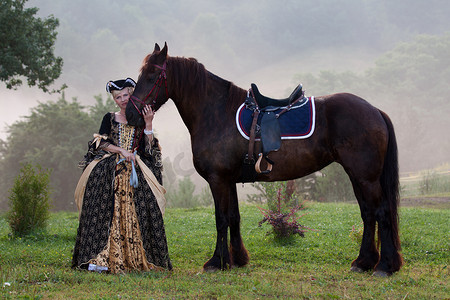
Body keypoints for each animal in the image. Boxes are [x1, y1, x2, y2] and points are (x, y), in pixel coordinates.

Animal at [125, 42, 402, 276]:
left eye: (151, 76)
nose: (129, 114)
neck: (216, 112)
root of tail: (375, 110)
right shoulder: (229, 180)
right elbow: (233, 217)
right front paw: (237, 259)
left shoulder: (218, 179)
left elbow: (221, 219)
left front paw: (217, 262)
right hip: (358, 176)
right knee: (368, 214)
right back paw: (364, 262)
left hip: (366, 177)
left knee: (381, 212)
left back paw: (384, 266)